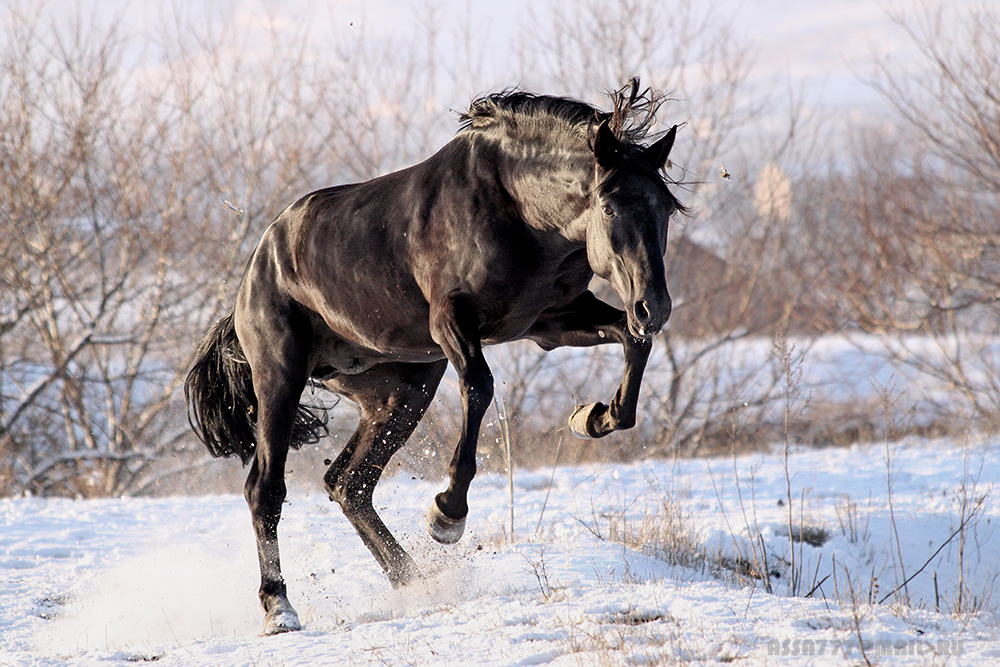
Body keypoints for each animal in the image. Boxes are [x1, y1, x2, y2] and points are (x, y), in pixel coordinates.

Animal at [184, 81, 684, 636]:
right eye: (610, 208)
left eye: (666, 210)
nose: (655, 307)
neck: (517, 209)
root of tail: (251, 278)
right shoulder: (452, 321)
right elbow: (480, 387)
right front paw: (447, 514)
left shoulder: (551, 321)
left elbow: (633, 342)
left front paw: (594, 417)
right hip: (281, 378)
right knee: (265, 490)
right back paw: (280, 608)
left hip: (401, 389)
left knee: (349, 484)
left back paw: (415, 582)